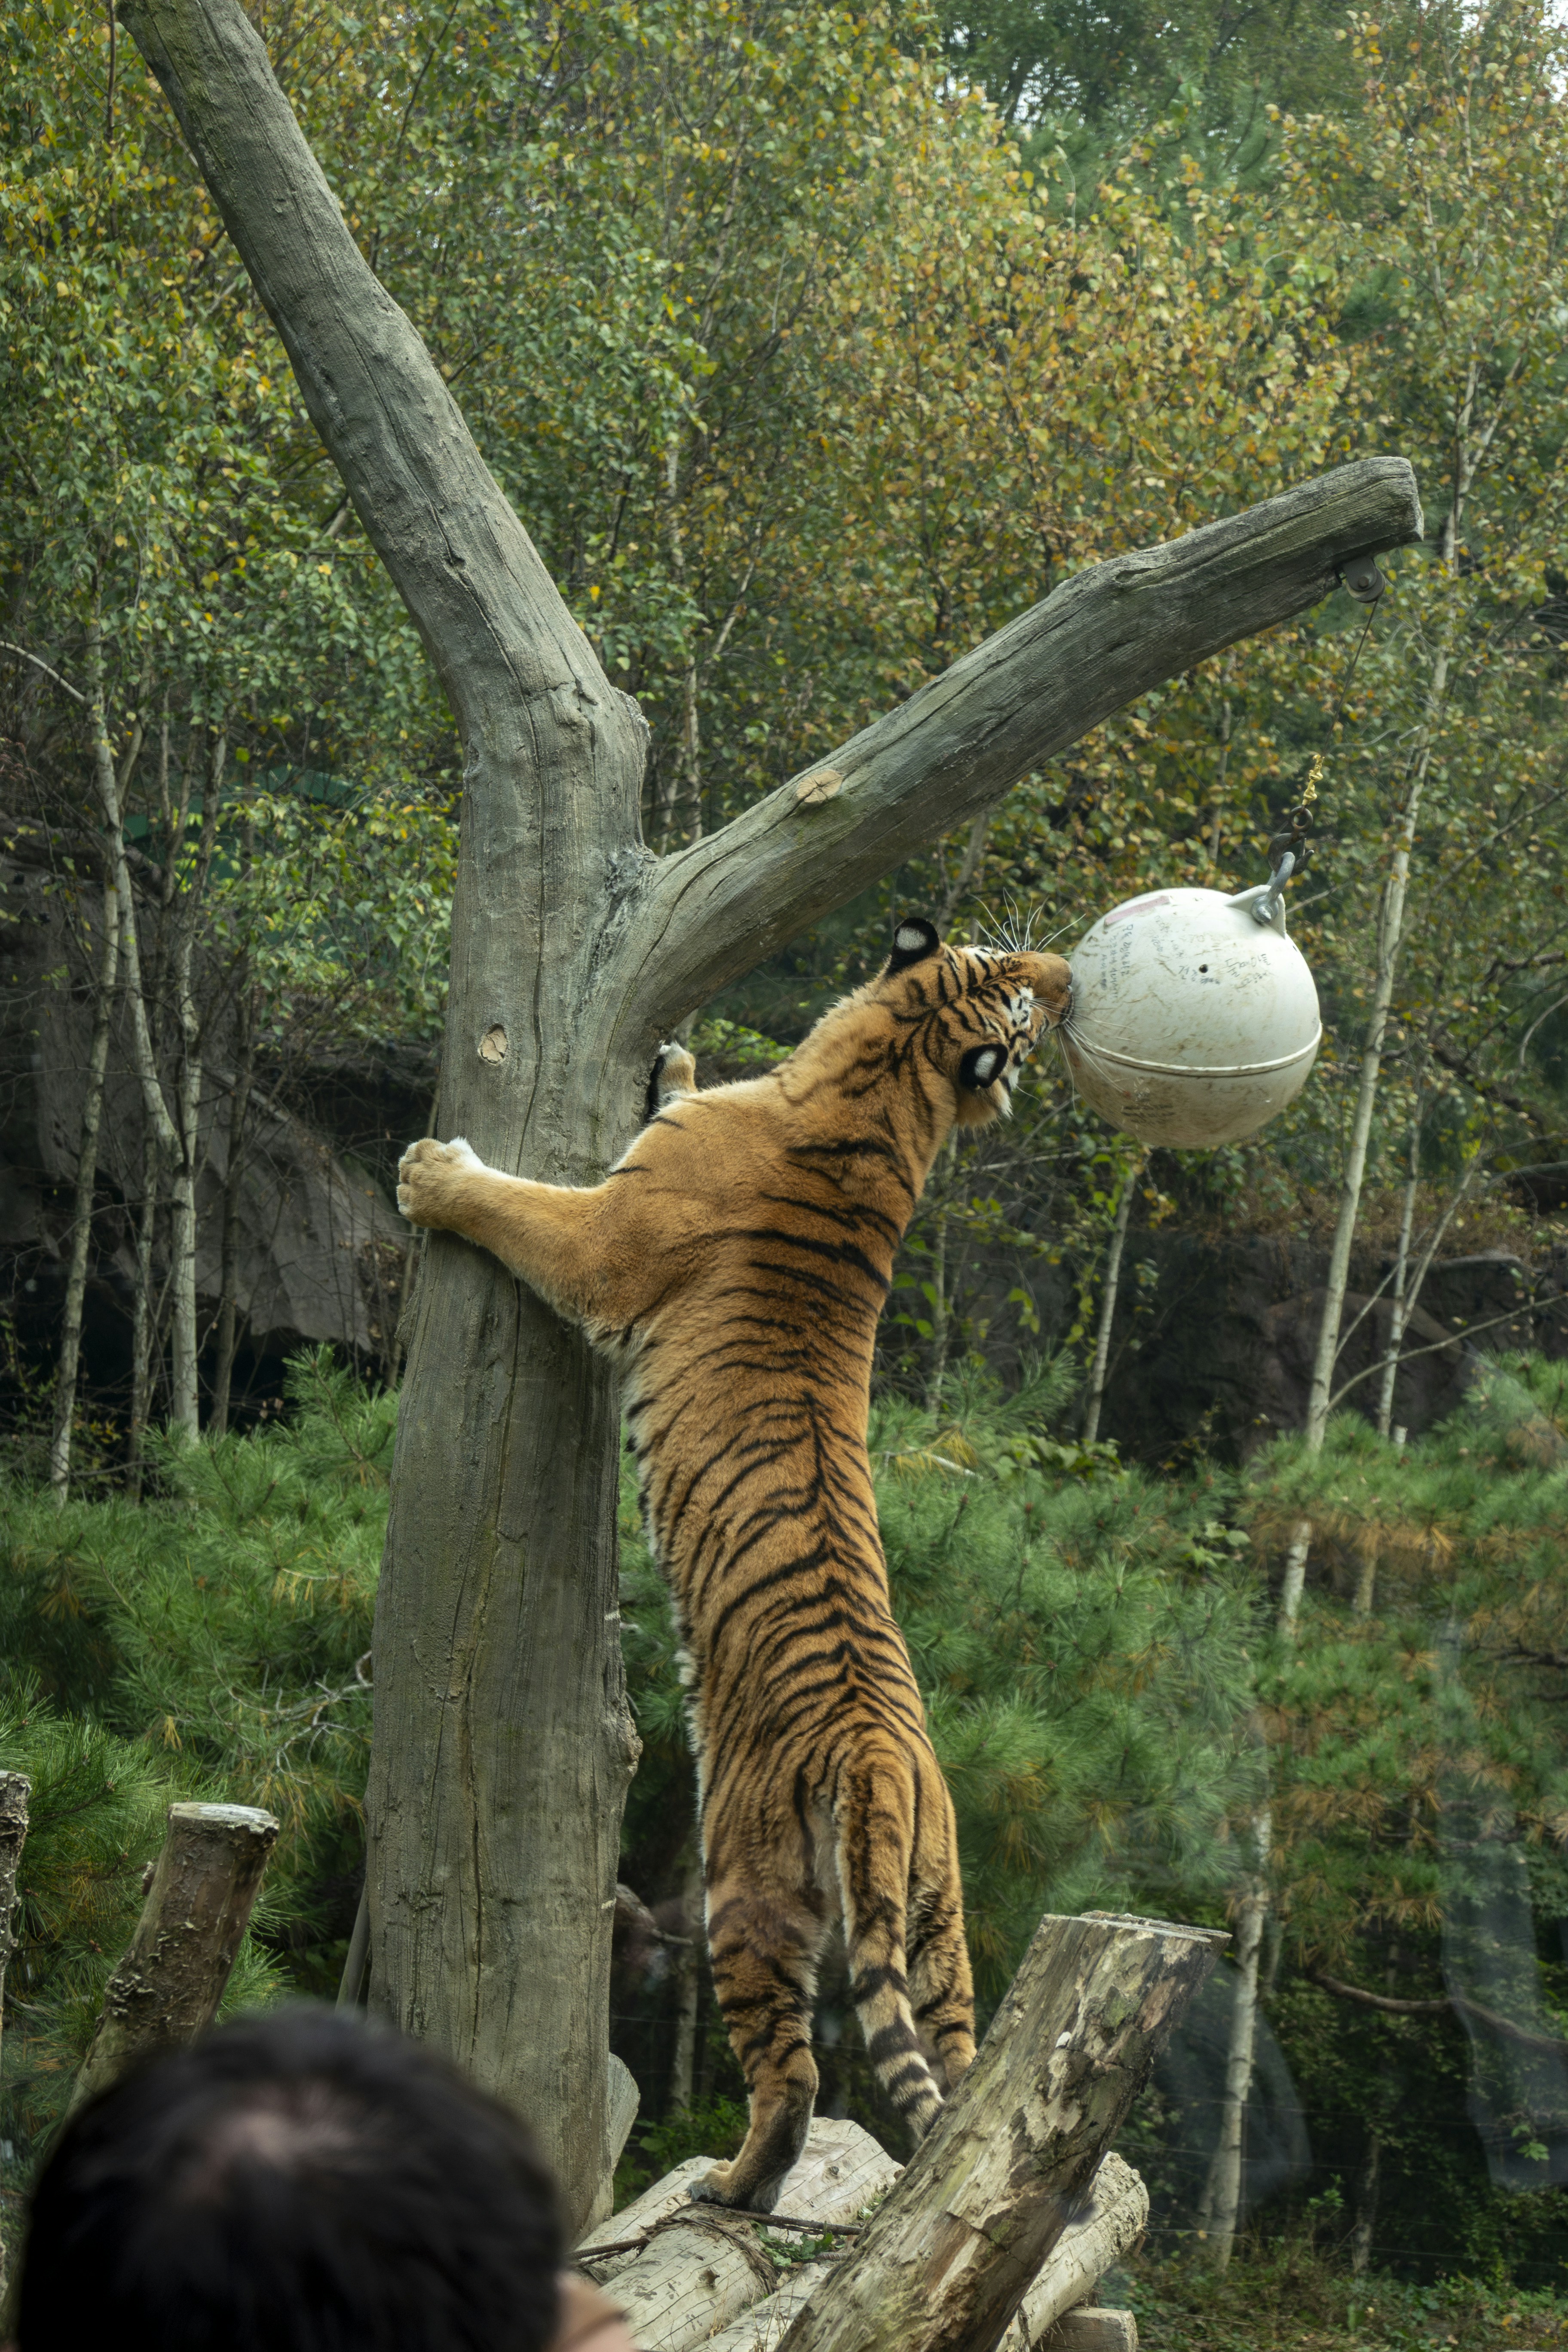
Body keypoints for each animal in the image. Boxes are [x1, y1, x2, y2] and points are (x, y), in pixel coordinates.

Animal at [395, 915, 1072, 2211]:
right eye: (1017, 973)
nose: (1073, 979)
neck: (883, 1093)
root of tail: (883, 1755)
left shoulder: (604, 1246)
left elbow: (520, 1209)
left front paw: (430, 1174)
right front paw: (675, 1058)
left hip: (746, 1890)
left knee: (796, 2079)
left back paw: (729, 2186)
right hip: (940, 1926)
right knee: (966, 2085)